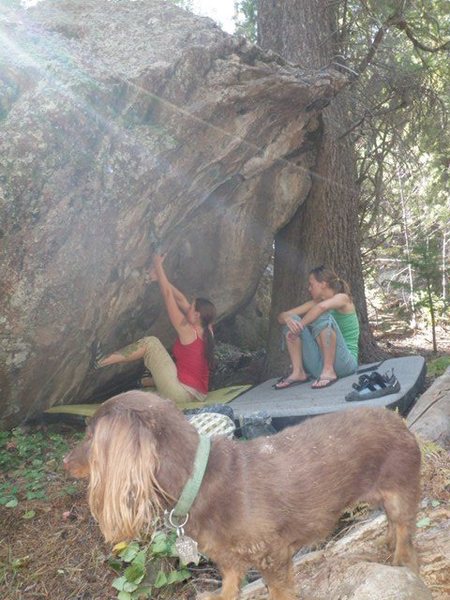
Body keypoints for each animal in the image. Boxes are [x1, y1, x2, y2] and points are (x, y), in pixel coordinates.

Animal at [64, 392, 422, 596]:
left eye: (90, 437)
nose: (65, 461)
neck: (198, 478)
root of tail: (397, 419)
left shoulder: (274, 557)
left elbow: (279, 592)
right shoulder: (228, 559)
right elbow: (229, 584)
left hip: (399, 493)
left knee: (406, 534)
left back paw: (400, 560)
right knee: (392, 526)